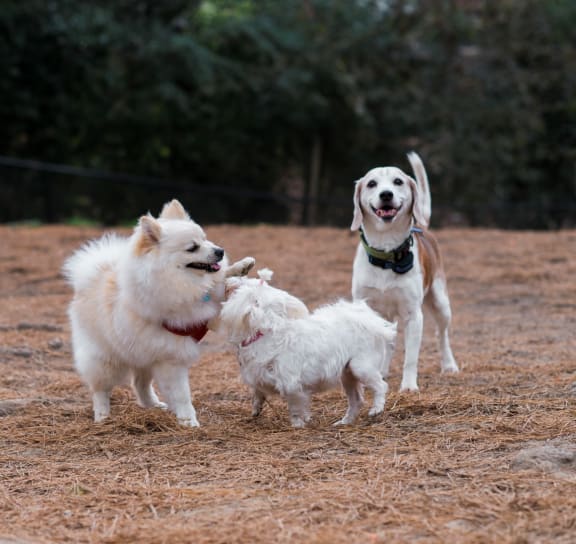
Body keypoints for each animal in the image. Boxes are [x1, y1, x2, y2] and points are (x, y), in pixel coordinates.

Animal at [62, 198, 253, 428]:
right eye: (192, 247)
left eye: (205, 239)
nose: (220, 251)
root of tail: (88, 279)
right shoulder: (172, 355)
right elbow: (182, 395)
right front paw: (189, 420)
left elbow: (216, 285)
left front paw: (240, 267)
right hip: (106, 360)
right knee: (100, 390)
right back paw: (102, 415)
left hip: (145, 354)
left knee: (139, 383)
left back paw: (152, 405)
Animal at [218, 270, 398, 428]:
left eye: (244, 284)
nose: (229, 279)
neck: (264, 333)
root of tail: (368, 319)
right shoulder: (258, 374)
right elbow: (257, 391)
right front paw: (256, 407)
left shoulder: (291, 384)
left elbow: (295, 407)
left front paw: (298, 424)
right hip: (347, 374)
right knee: (357, 400)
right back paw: (344, 422)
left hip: (361, 367)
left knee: (381, 386)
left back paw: (376, 409)